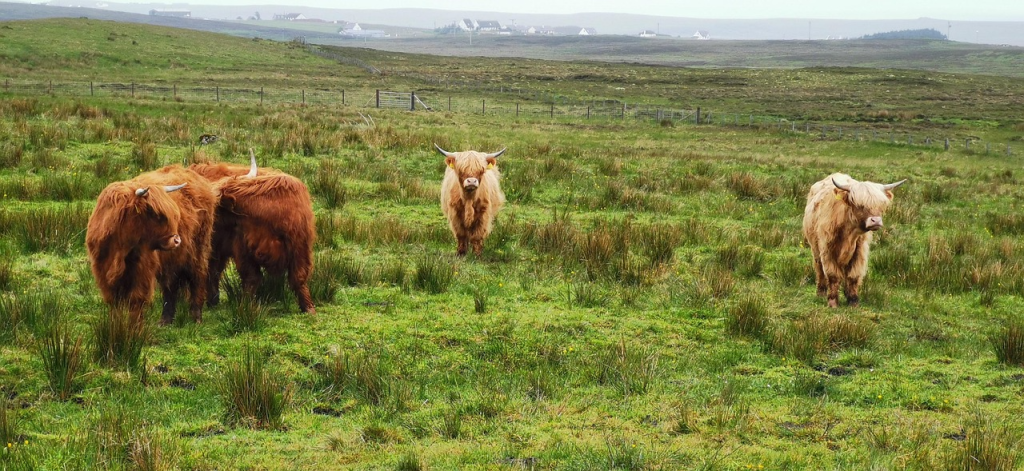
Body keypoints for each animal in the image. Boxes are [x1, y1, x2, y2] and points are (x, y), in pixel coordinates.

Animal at [86, 165, 217, 325]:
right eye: (157, 215)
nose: (177, 241)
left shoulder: (143, 270)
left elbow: (136, 299)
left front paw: (134, 327)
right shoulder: (102, 270)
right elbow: (114, 302)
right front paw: (115, 324)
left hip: (198, 248)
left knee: (197, 276)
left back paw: (196, 316)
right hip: (171, 260)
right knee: (170, 286)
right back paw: (166, 320)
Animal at [189, 151, 316, 314]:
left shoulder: (300, 247)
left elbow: (299, 278)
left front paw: (308, 307)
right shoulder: (243, 247)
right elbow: (251, 278)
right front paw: (246, 307)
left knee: (214, 270)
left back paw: (213, 300)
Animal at [802, 173, 906, 307]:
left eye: (880, 205)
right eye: (860, 205)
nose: (876, 221)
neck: (849, 233)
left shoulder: (860, 250)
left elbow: (853, 276)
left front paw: (853, 301)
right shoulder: (827, 249)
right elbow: (833, 275)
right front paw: (833, 302)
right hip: (815, 248)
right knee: (819, 268)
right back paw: (821, 292)